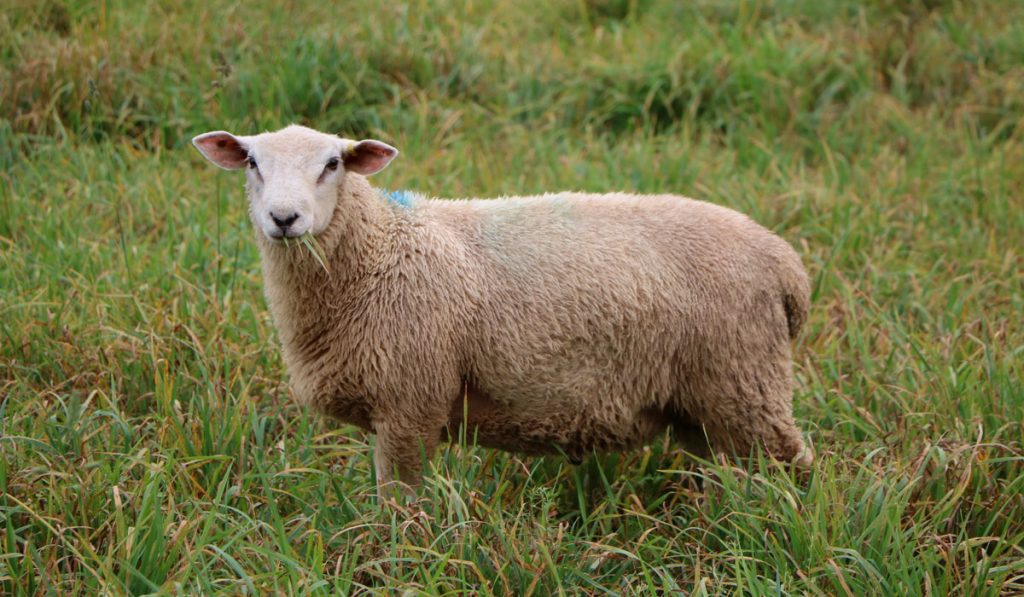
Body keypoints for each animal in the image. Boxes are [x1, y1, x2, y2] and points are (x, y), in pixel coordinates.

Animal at [192, 124, 813, 495]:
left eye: (333, 165)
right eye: (252, 163)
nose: (284, 218)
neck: (380, 252)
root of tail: (785, 263)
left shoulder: (410, 401)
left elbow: (401, 506)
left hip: (743, 379)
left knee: (794, 466)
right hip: (704, 401)